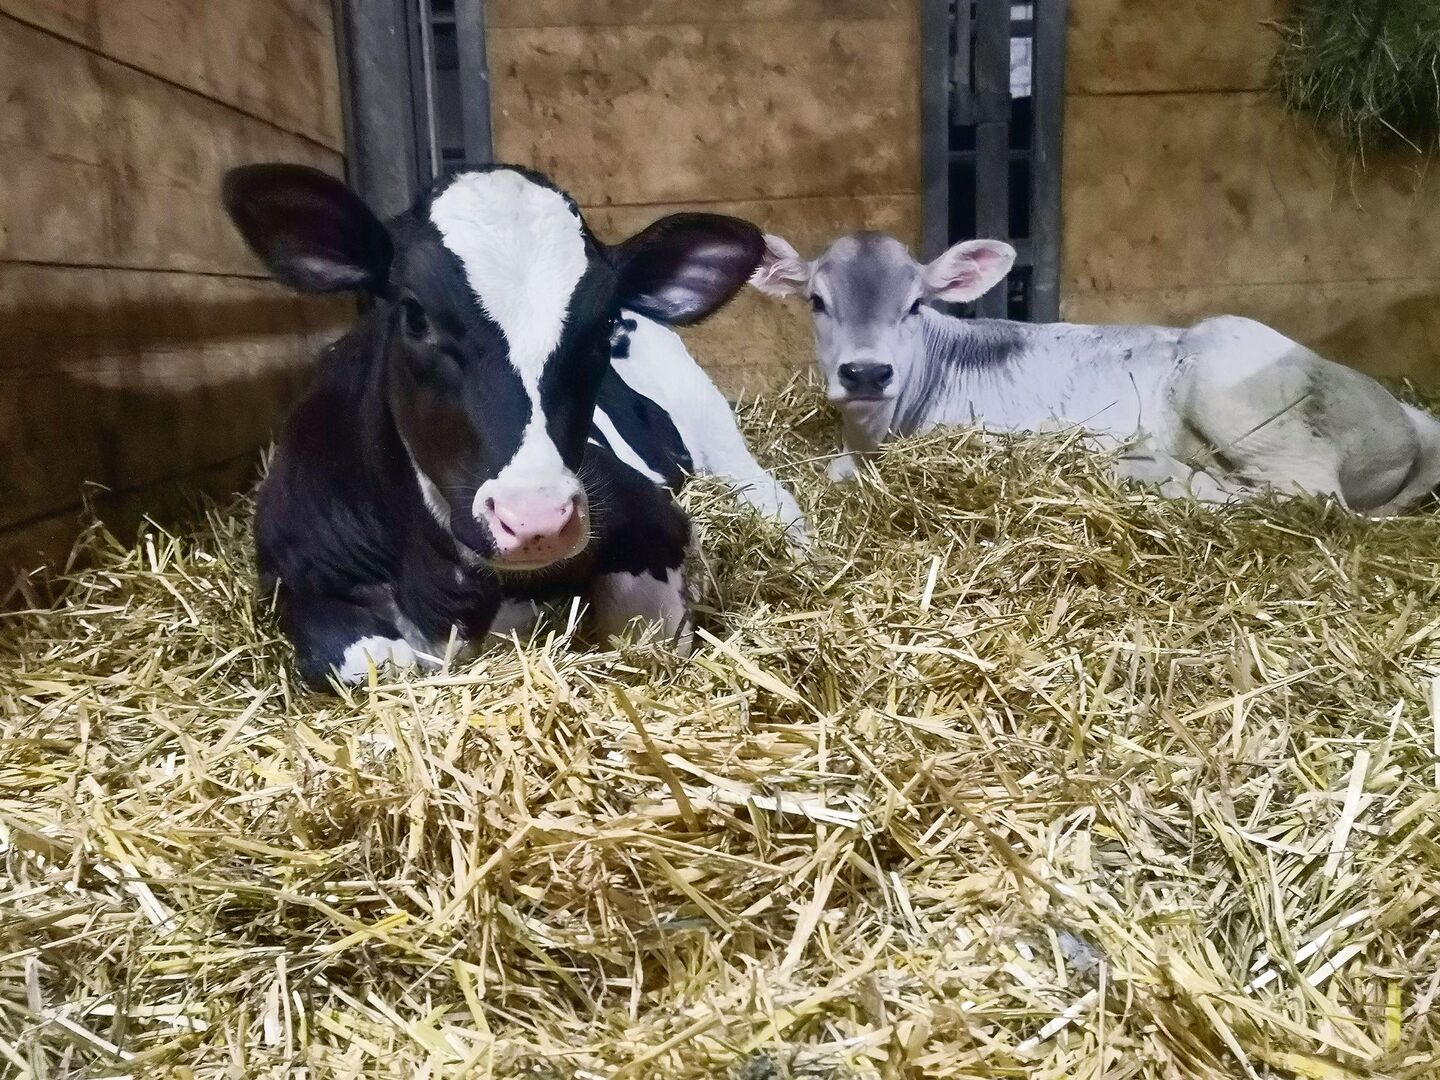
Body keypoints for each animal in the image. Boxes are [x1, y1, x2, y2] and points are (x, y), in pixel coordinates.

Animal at [222, 162, 805, 690]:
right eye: (415, 314)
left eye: (602, 325)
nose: (536, 519)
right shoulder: (289, 571)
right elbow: (369, 663)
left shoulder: (652, 517)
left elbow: (645, 631)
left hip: (713, 424)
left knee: (768, 494)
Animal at [750, 230, 1440, 514]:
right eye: (816, 301)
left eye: (916, 304)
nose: (867, 372)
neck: (873, 435)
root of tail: (1405, 418)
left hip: (1241, 389)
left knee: (1304, 492)